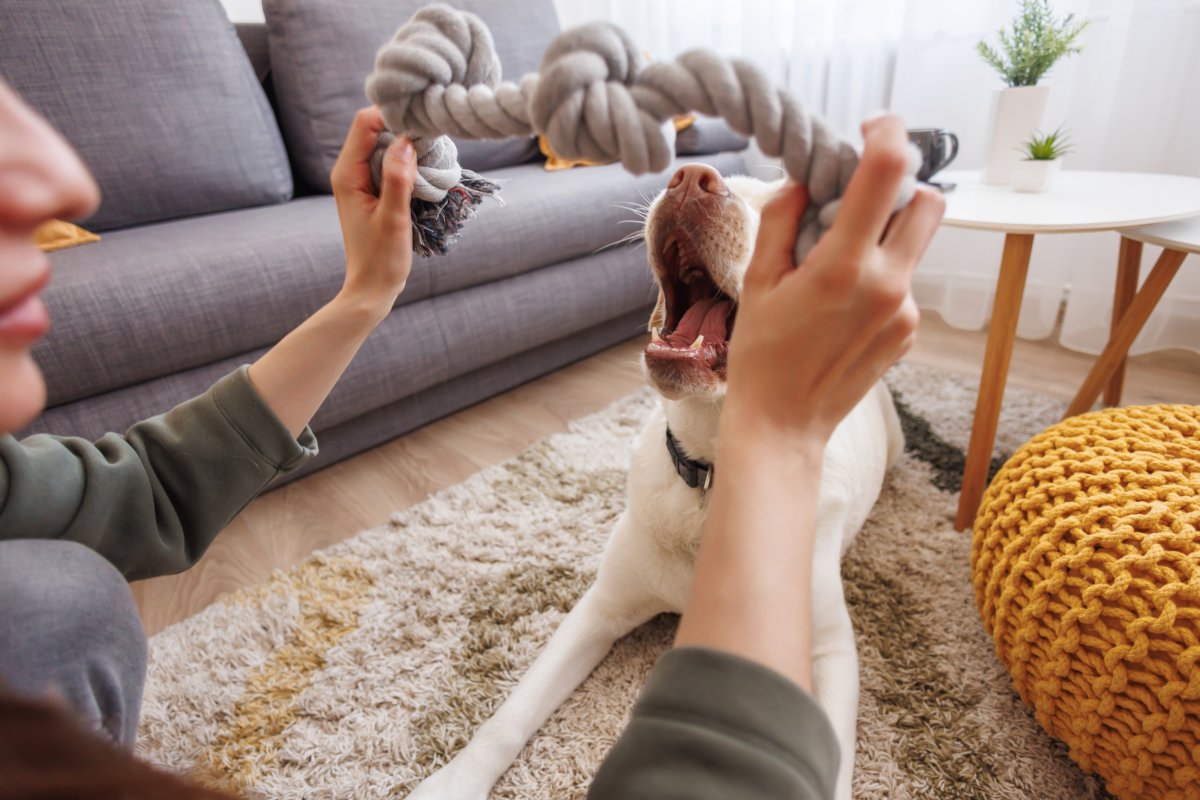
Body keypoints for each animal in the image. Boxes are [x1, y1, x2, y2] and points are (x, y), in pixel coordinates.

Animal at [408, 164, 902, 800]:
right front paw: (452, 783)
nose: (691, 178)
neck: (715, 475)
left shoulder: (832, 651)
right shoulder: (600, 607)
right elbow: (508, 717)